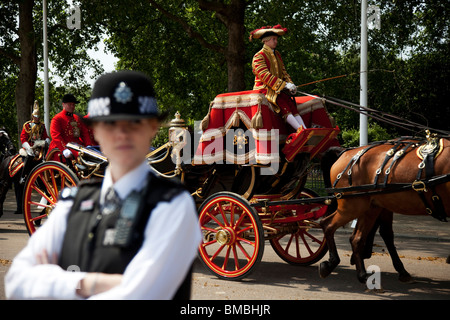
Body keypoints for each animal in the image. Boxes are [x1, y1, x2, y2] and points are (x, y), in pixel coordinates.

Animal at [318, 135, 448, 282]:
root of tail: (345, 153)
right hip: (353, 206)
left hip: (371, 206)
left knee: (358, 236)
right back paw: (333, 263)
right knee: (328, 224)